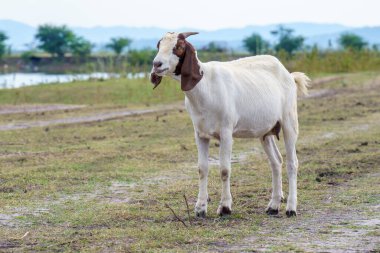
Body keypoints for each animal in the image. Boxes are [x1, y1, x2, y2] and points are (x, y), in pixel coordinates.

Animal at [150, 31, 310, 217]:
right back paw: (273, 206)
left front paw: (225, 207)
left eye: (179, 47)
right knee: (276, 162)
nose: (156, 64)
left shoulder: (226, 132)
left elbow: (225, 169)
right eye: (159, 45)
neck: (206, 87)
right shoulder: (200, 134)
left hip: (289, 120)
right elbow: (202, 169)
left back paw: (291, 208)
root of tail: (289, 75)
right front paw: (200, 208)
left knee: (292, 163)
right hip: (266, 130)